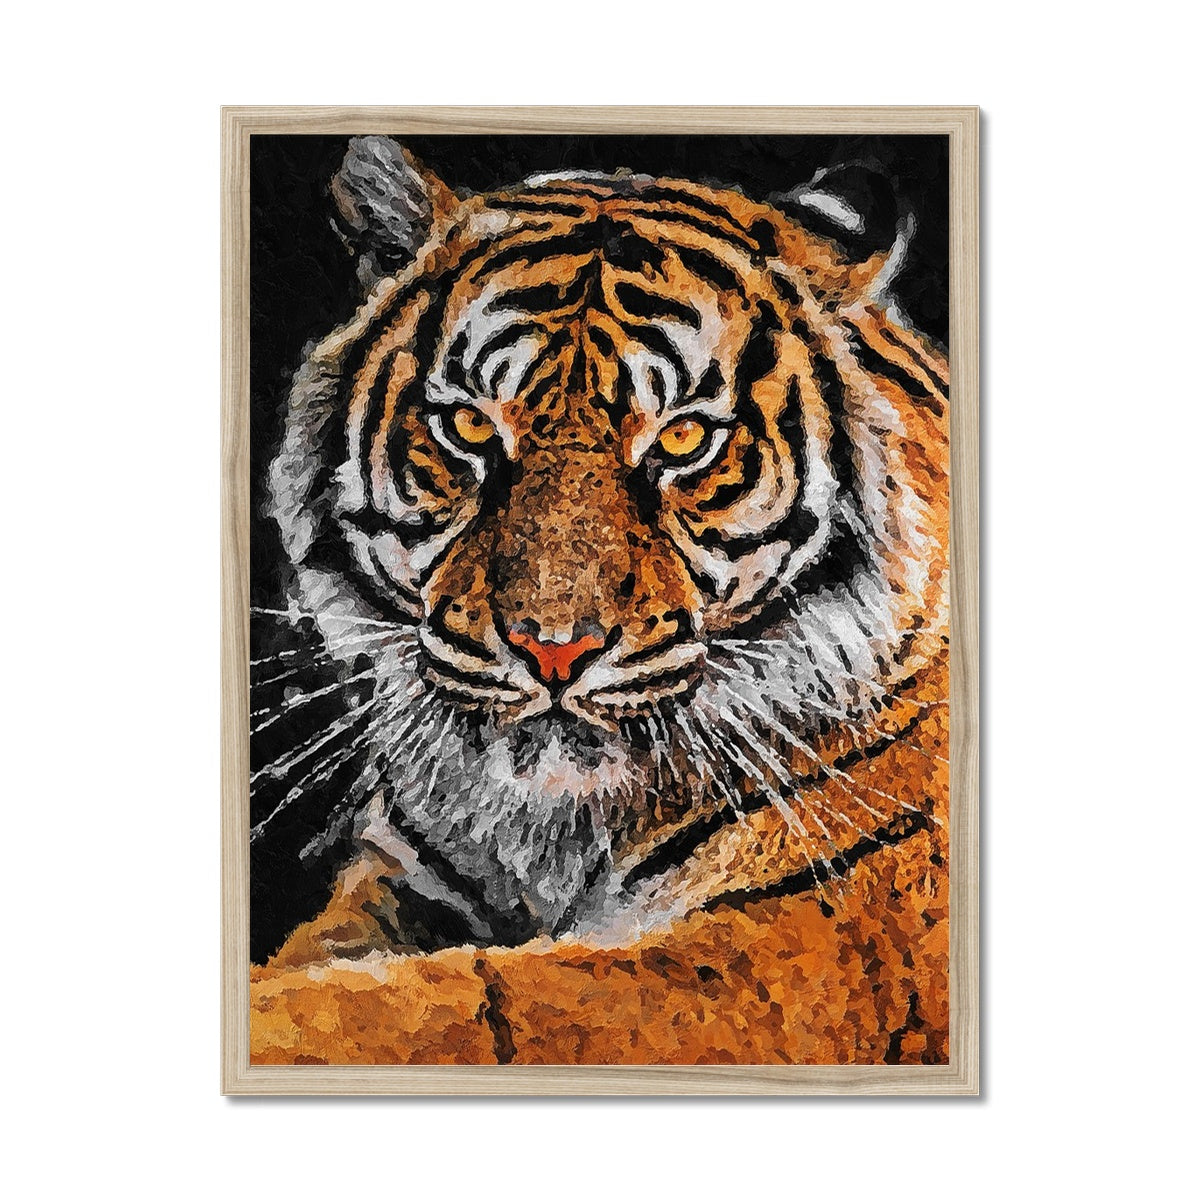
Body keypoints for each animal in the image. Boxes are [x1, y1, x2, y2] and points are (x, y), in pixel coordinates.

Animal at [250, 136, 950, 1065]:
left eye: (683, 438)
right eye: (469, 428)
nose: (554, 650)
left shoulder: (773, 948)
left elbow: (453, 1007)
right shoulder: (396, 878)